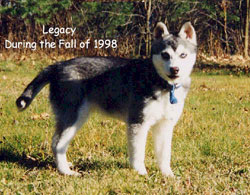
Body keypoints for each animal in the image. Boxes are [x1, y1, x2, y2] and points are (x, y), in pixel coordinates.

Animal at [16, 21, 197, 177]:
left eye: (183, 55)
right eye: (165, 55)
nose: (175, 69)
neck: (164, 84)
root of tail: (59, 65)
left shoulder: (165, 126)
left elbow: (165, 154)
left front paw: (168, 175)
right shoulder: (138, 122)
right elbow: (138, 153)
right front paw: (141, 173)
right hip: (73, 117)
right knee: (57, 144)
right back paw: (66, 171)